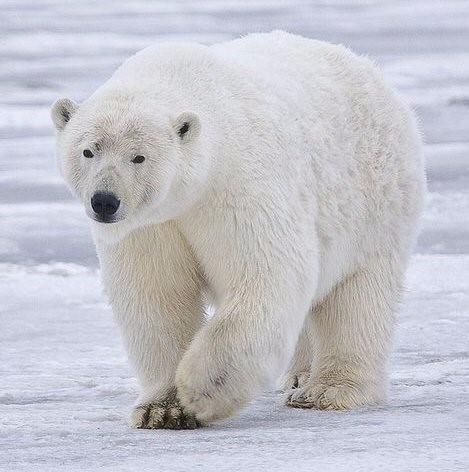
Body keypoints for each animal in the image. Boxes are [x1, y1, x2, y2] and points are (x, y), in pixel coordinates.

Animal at [50, 30, 424, 428]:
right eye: (88, 151)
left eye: (139, 157)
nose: (105, 201)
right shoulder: (151, 225)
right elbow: (156, 295)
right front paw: (161, 409)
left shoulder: (237, 185)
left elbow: (267, 273)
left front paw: (200, 391)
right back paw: (299, 375)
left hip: (375, 203)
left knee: (357, 298)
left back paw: (328, 390)